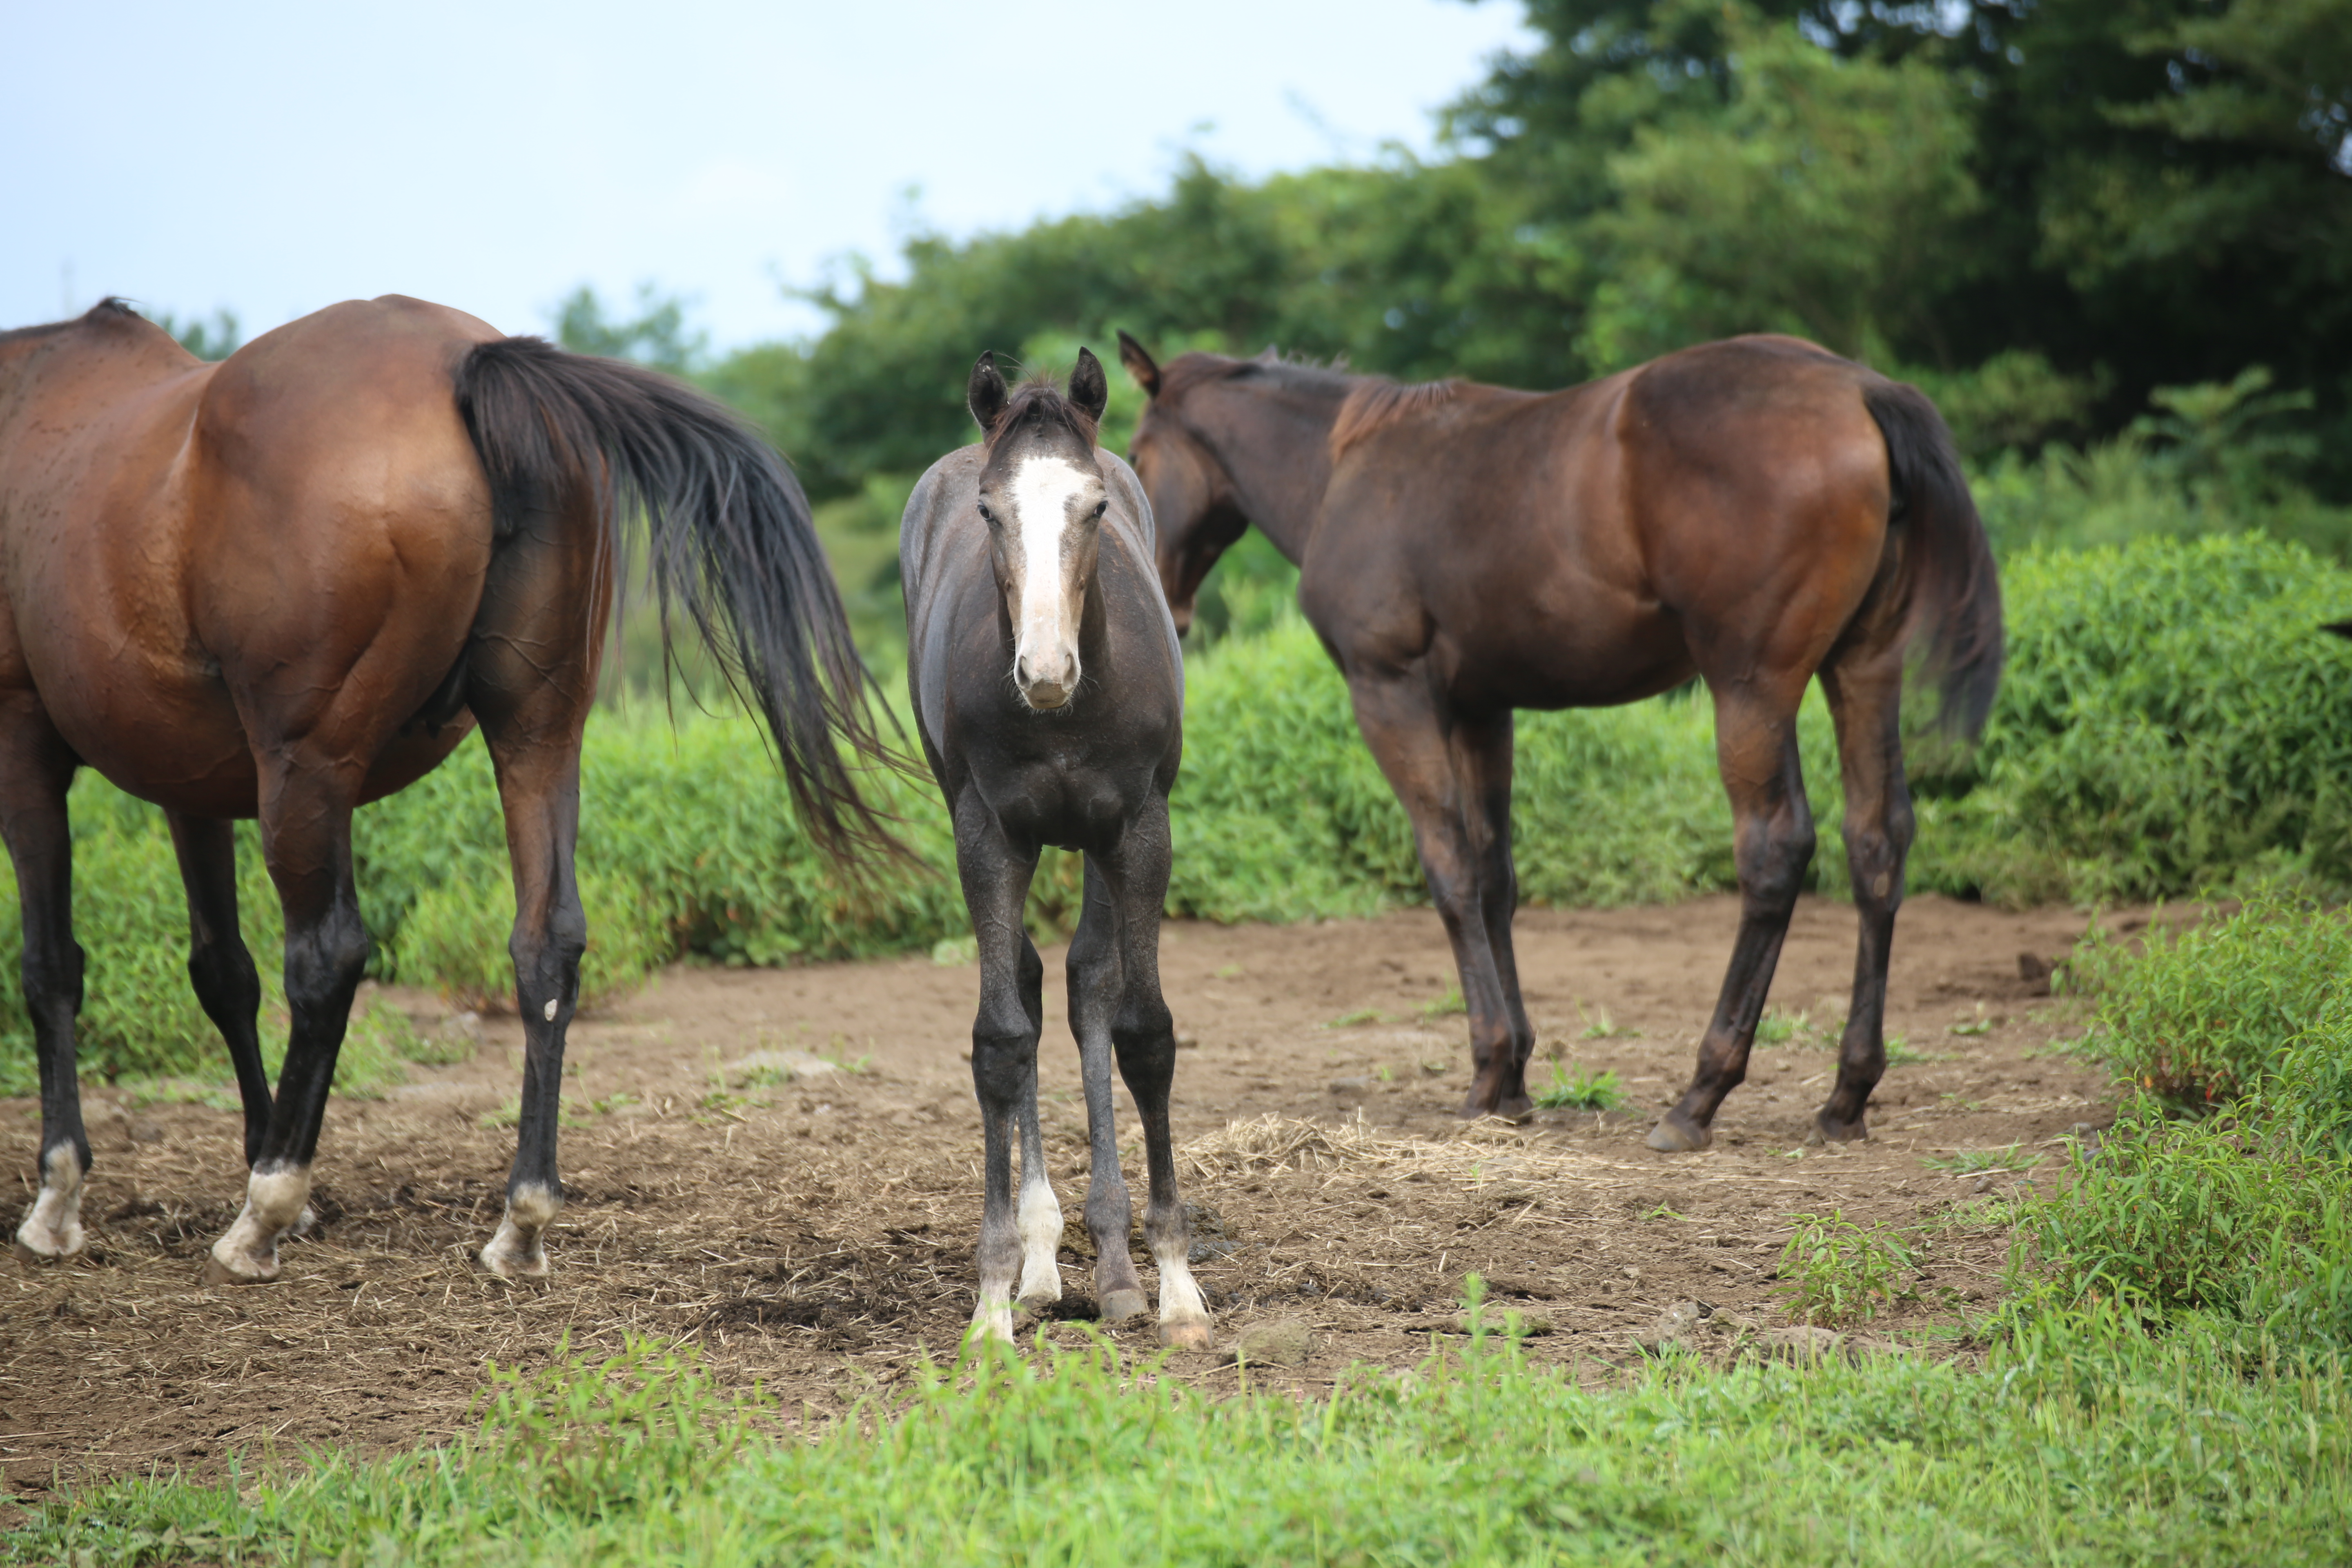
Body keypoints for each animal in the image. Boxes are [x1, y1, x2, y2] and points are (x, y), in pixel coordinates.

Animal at [0, 297, 889, 1288]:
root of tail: (467, 362)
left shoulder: (24, 744)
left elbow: (50, 965)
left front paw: (59, 1198)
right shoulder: (188, 783)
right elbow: (222, 971)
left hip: (304, 773)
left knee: (328, 956)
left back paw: (265, 1212)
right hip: (538, 733)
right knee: (547, 945)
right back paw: (519, 1220)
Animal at [903, 345, 1214, 1354]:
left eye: (1096, 509)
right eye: (990, 512)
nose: (1044, 671)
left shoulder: (1140, 829)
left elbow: (1143, 1032)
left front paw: (1177, 1286)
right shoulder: (988, 834)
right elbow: (1002, 1039)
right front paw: (993, 1298)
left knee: (1087, 986)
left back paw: (1115, 1269)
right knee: (1040, 988)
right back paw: (1045, 1264)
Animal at [1110, 334, 1994, 1152]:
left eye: (1137, 458)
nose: (1161, 603)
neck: (1343, 469)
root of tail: (1861, 389)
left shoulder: (1392, 693)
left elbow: (1450, 869)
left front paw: (1488, 1070)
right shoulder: (1483, 710)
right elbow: (1495, 876)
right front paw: (1515, 1079)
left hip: (1752, 687)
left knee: (1775, 849)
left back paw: (1701, 1095)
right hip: (1864, 671)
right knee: (1877, 843)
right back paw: (1848, 1094)